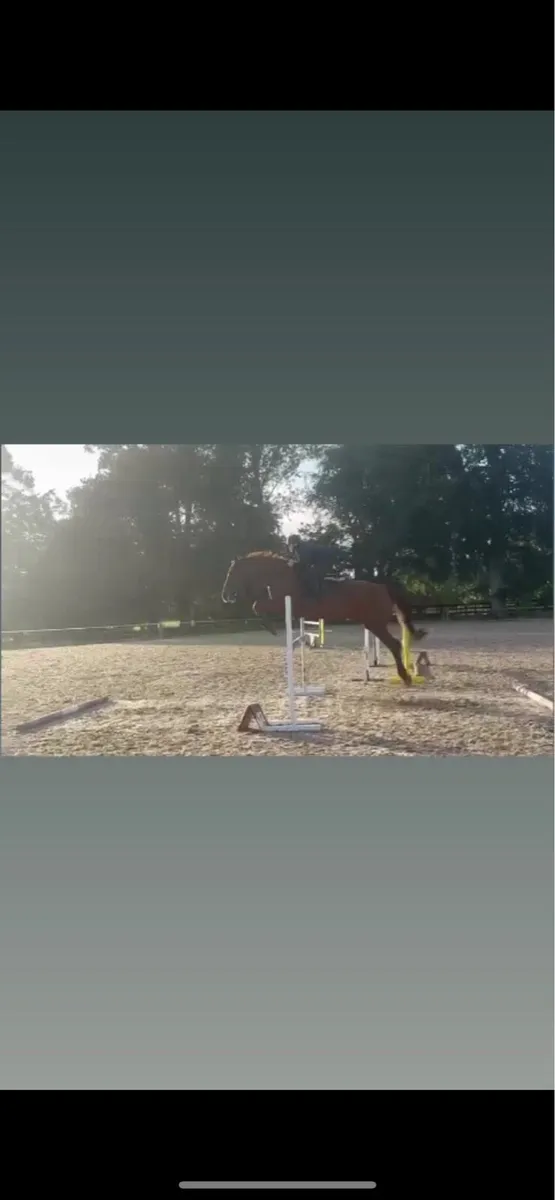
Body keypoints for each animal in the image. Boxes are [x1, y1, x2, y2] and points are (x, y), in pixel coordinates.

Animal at [221, 551, 427, 686]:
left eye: (232, 573)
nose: (225, 595)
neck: (280, 576)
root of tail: (383, 588)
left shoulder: (281, 603)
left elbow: (257, 605)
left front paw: (269, 626)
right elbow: (258, 606)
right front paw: (268, 625)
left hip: (376, 624)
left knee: (394, 645)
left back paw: (405, 677)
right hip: (372, 623)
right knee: (394, 644)